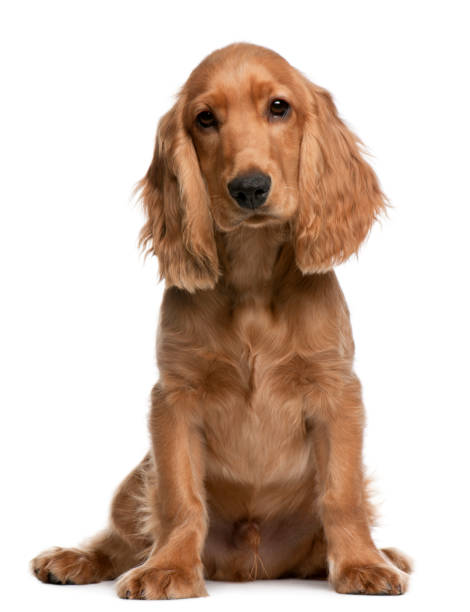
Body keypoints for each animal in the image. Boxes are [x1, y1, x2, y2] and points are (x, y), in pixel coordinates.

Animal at [30, 43, 412, 596]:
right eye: (205, 119)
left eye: (279, 107)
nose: (249, 188)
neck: (252, 282)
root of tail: (254, 567)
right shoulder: (173, 400)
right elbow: (179, 499)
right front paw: (169, 569)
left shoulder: (337, 392)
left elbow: (341, 496)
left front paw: (363, 564)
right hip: (135, 479)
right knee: (124, 539)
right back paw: (76, 559)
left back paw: (386, 554)